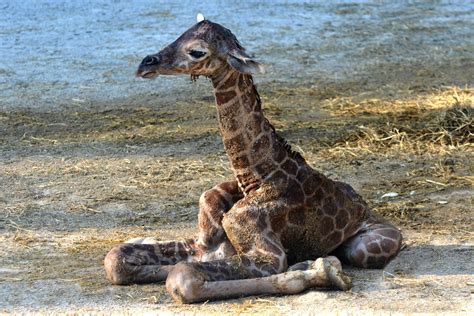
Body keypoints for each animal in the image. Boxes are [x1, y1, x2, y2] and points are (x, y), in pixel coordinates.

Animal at [103, 16, 400, 302]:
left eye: (197, 51)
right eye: (180, 34)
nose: (146, 63)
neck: (257, 178)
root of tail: (363, 205)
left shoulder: (269, 255)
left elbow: (182, 277)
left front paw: (319, 270)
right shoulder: (205, 244)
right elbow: (115, 258)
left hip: (367, 247)